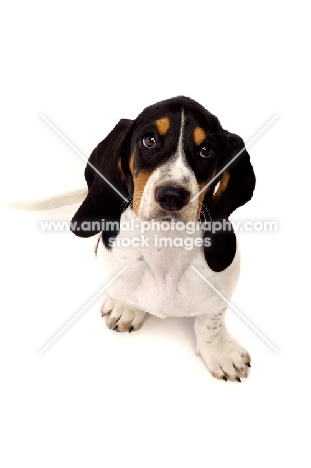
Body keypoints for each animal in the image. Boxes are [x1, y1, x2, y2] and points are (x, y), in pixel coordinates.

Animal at [72, 97, 258, 382]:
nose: (172, 195)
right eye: (149, 140)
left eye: (206, 150)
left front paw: (221, 354)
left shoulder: (221, 289)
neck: (165, 246)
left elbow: (210, 324)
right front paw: (125, 307)